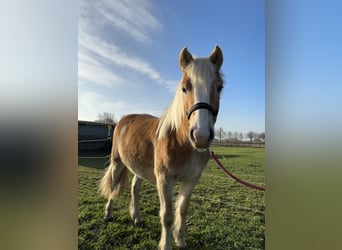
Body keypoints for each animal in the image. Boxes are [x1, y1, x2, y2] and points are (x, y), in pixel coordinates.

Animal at [99, 46, 224, 249]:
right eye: (184, 88)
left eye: (219, 87)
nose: (201, 136)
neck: (182, 143)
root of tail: (123, 121)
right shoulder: (164, 179)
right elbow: (167, 216)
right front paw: (166, 244)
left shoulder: (192, 180)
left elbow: (182, 210)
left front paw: (180, 240)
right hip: (117, 163)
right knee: (113, 186)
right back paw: (108, 215)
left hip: (139, 167)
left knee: (134, 188)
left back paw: (137, 217)